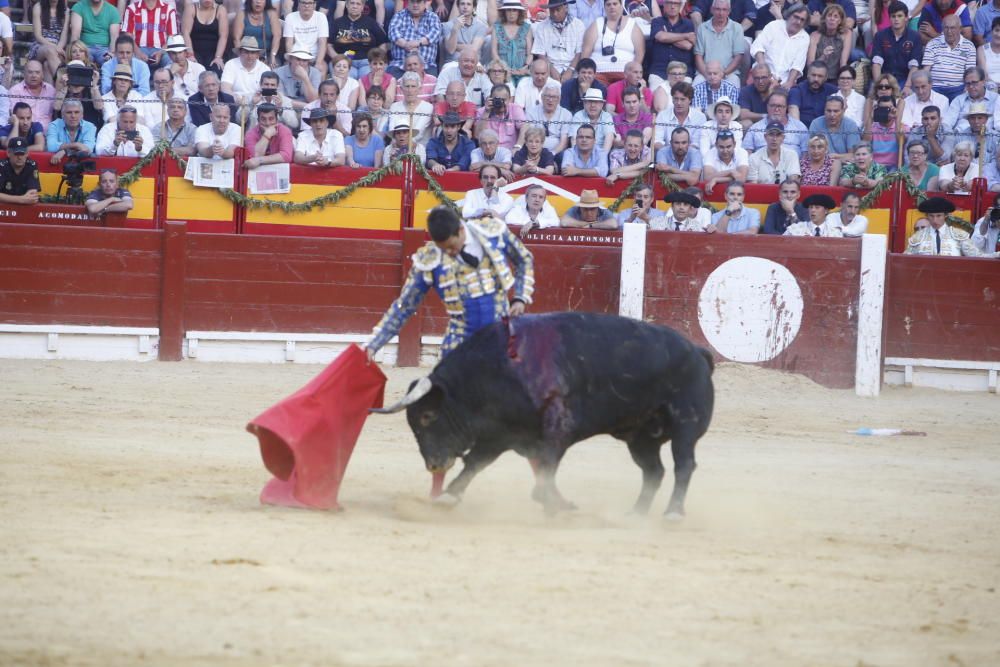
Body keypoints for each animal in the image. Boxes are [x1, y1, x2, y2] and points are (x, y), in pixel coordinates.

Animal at [374, 310, 712, 520]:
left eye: (427, 416)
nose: (433, 465)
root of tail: (698, 352)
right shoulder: (501, 433)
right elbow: (476, 464)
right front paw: (449, 496)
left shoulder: (557, 427)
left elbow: (544, 474)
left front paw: (557, 506)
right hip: (641, 437)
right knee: (653, 471)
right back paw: (636, 514)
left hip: (686, 425)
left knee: (684, 465)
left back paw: (672, 513)